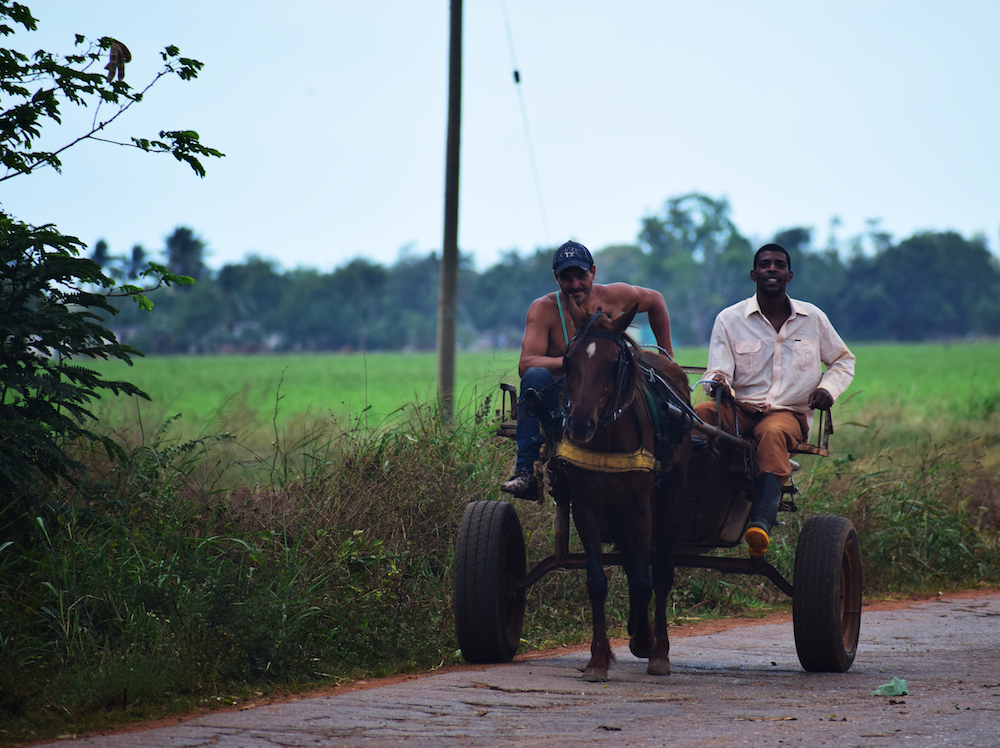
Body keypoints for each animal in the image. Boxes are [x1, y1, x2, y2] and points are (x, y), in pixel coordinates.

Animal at [552, 300, 692, 680]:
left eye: (614, 364)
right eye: (568, 361)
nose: (580, 423)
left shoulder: (640, 502)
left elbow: (645, 578)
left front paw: (646, 641)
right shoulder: (586, 503)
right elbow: (598, 581)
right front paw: (598, 658)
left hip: (670, 493)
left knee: (660, 570)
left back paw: (658, 647)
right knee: (631, 559)